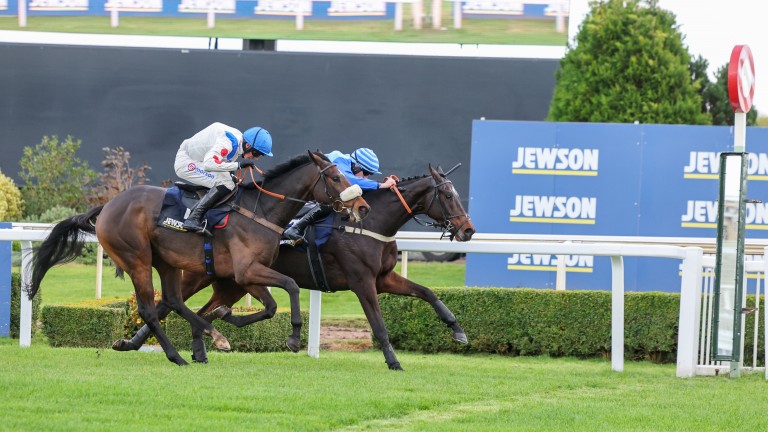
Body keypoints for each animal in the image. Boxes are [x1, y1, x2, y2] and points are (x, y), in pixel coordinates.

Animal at [28, 151, 370, 365]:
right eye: (336, 177)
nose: (362, 207)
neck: (261, 211)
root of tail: (108, 205)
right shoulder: (246, 271)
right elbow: (291, 287)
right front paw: (293, 338)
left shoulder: (244, 276)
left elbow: (271, 306)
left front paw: (227, 316)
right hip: (136, 259)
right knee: (149, 308)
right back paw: (181, 353)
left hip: (166, 261)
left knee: (172, 300)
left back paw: (205, 336)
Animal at [119, 163, 475, 370]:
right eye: (448, 195)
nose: (468, 230)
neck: (369, 224)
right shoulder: (362, 281)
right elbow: (378, 324)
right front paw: (393, 361)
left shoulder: (384, 277)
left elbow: (428, 292)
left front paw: (457, 330)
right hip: (200, 274)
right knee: (166, 303)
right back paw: (134, 343)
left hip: (229, 282)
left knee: (203, 309)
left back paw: (199, 345)